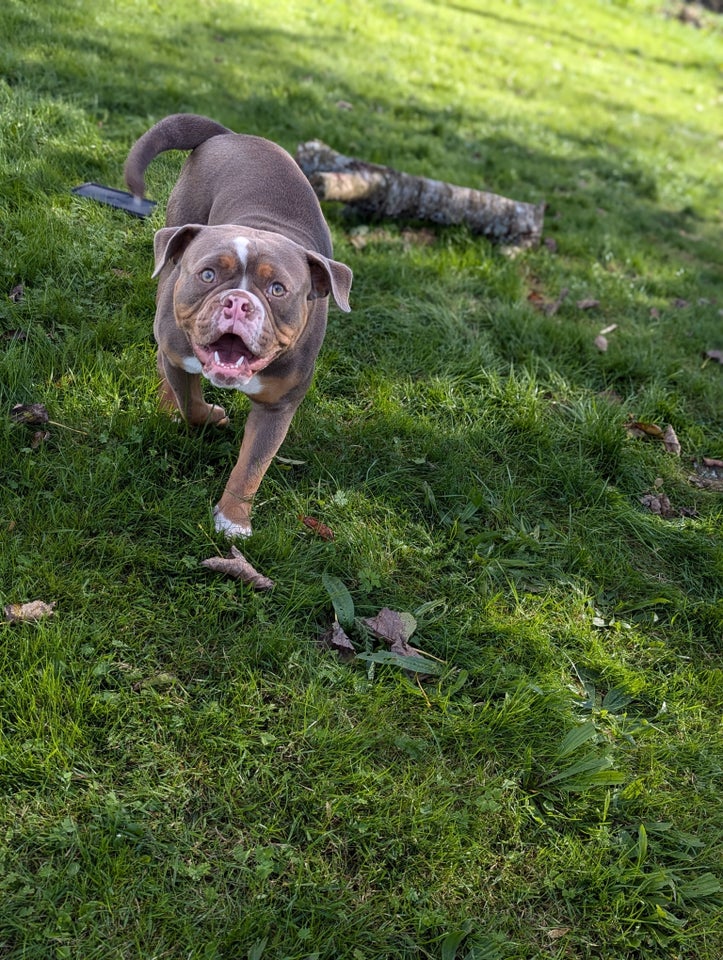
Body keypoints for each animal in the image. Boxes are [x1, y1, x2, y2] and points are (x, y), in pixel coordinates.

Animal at [126, 112, 354, 540]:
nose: (238, 302)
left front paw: (233, 520)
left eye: (278, 289)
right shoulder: (180, 358)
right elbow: (191, 405)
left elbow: (252, 466)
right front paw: (210, 415)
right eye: (209, 274)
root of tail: (230, 135)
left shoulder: (278, 407)